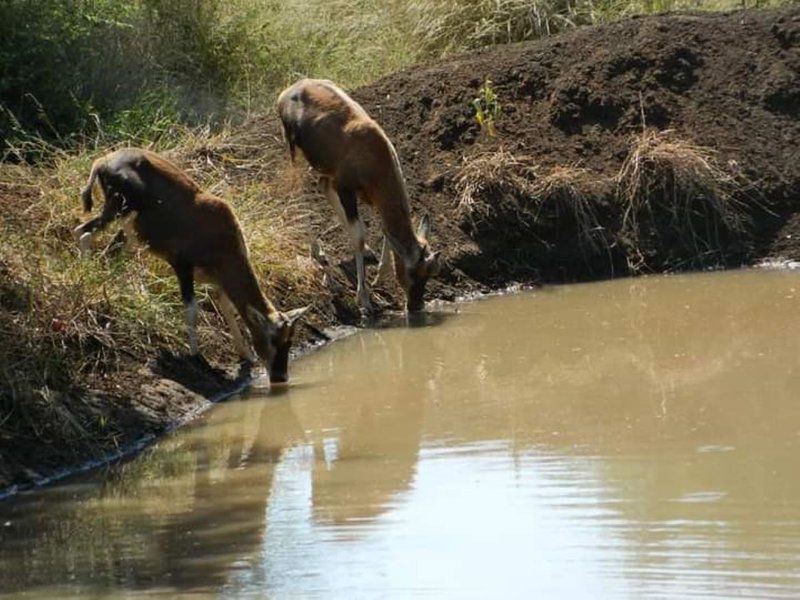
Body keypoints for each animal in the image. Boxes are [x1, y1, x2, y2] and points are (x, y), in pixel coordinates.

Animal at [74, 148, 310, 386]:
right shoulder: (182, 266)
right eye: (273, 339)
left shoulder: (218, 281)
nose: (280, 377)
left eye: (290, 340)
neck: (220, 240)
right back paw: (85, 276)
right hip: (117, 211)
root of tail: (103, 161)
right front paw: (196, 355)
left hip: (129, 231)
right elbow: (192, 309)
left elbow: (227, 308)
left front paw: (246, 355)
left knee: (100, 246)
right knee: (83, 232)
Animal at [274, 78, 438, 314]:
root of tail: (291, 90)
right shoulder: (346, 190)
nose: (415, 306)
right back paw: (319, 255)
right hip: (295, 151)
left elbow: (384, 229)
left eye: (430, 273)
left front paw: (379, 276)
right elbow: (358, 236)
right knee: (299, 191)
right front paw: (365, 300)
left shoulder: (370, 195)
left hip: (325, 169)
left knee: (323, 185)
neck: (372, 150)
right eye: (412, 272)